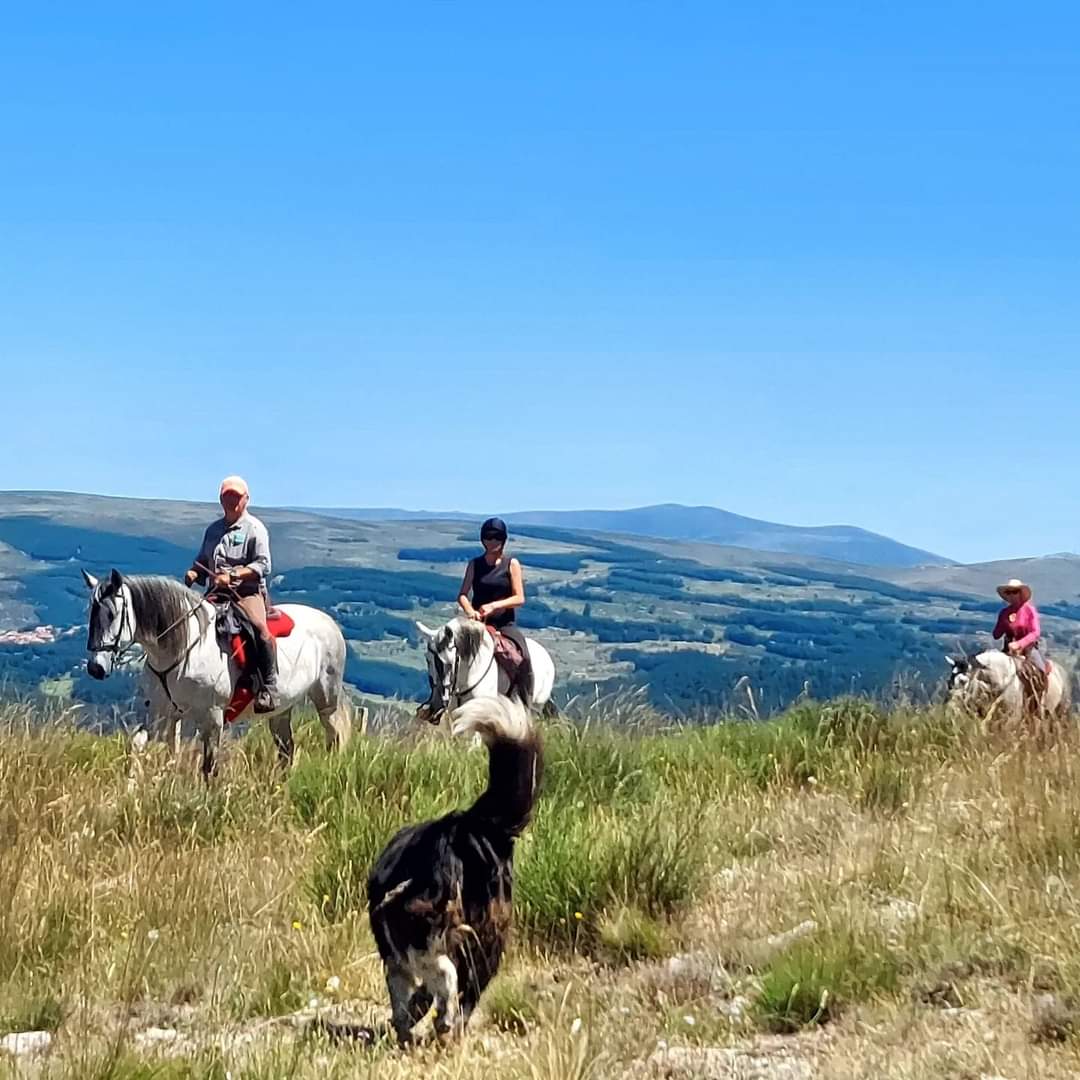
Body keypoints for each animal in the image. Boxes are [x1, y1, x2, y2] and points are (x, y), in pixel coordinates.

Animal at [83, 569, 354, 778]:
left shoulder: (212, 718)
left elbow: (209, 766)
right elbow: (143, 746)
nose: (96, 668)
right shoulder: (161, 714)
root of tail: (329, 622)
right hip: (281, 710)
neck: (183, 650)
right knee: (287, 749)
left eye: (112, 614)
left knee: (334, 736)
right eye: (91, 613)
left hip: (326, 698)